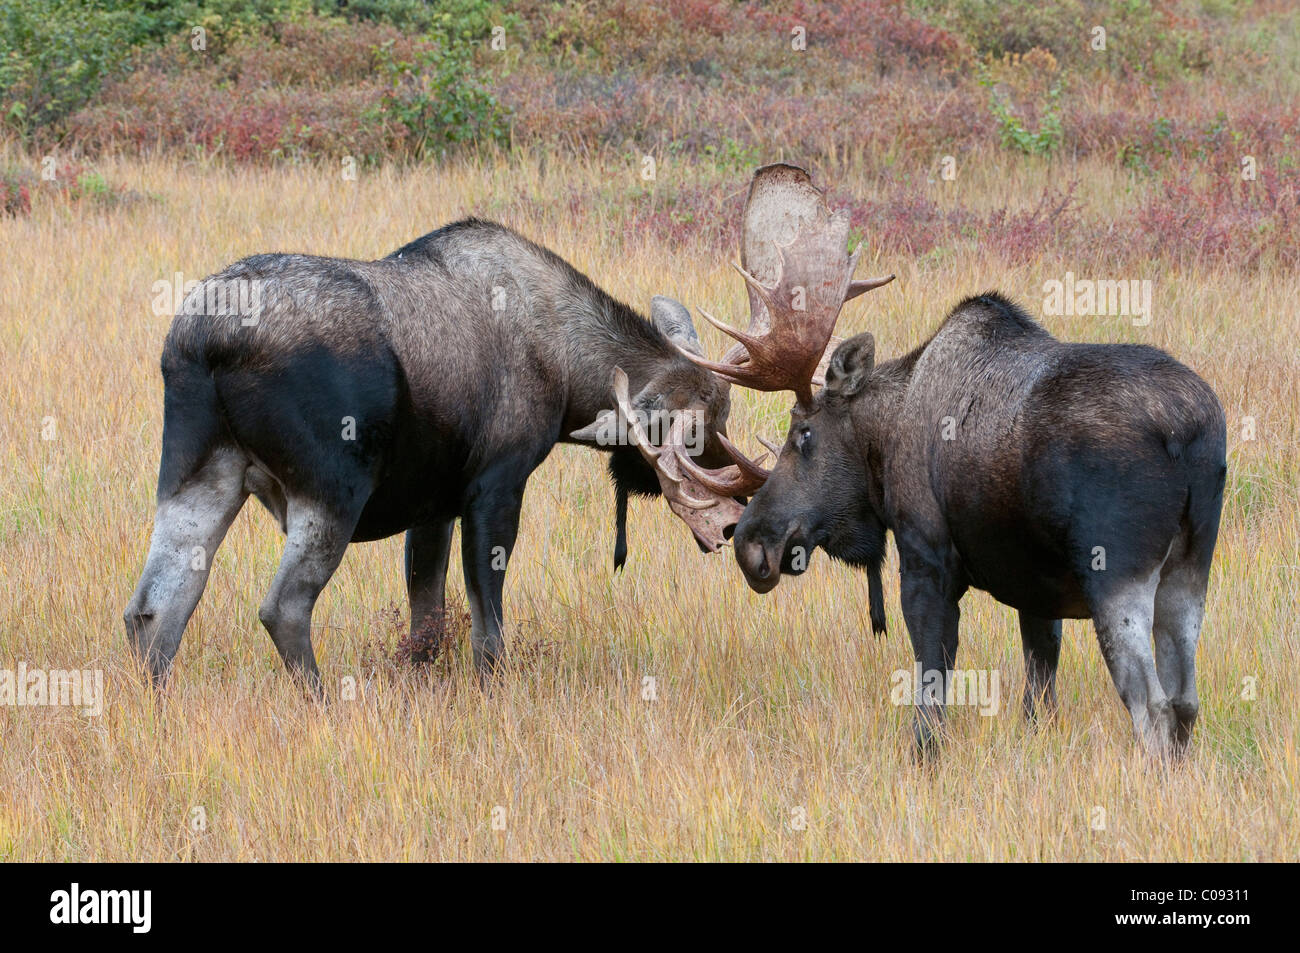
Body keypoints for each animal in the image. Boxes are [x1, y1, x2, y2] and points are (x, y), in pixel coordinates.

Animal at [655, 163, 1222, 759]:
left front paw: (923, 759)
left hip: (1116, 572)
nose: (749, 544)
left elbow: (931, 688)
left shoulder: (927, 556)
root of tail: (1192, 430)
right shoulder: (1035, 592)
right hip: (1189, 570)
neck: (887, 436)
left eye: (803, 434)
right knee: (1185, 703)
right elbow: (1038, 696)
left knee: (1151, 706)